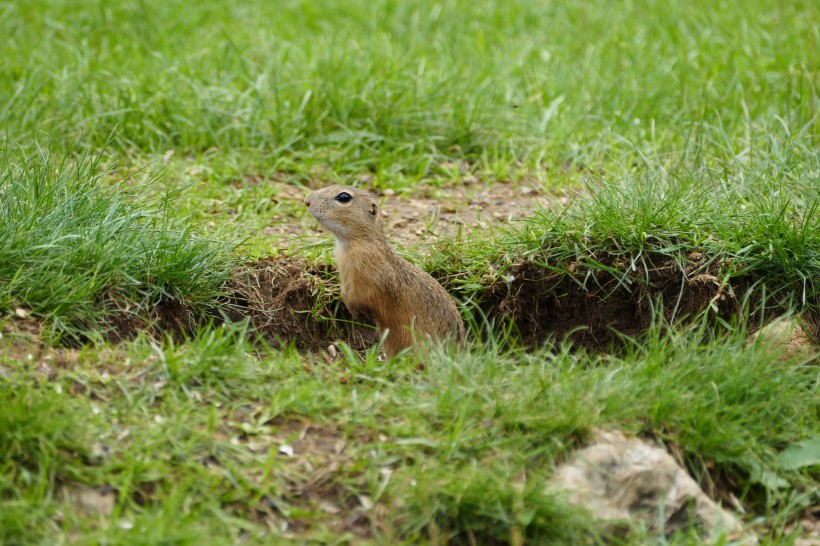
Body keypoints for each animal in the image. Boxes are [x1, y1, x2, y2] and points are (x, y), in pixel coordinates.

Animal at [304, 186, 464, 356]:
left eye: (344, 197)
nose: (306, 200)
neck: (358, 242)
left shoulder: (370, 281)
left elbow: (362, 297)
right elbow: (345, 293)